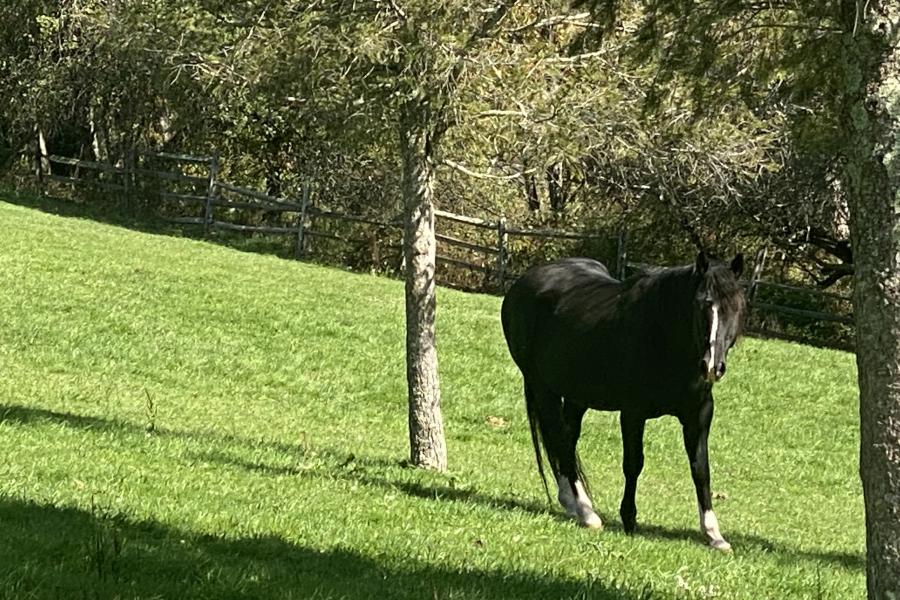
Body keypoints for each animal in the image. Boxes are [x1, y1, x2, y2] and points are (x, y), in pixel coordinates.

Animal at [500, 251, 744, 552]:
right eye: (702, 304)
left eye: (735, 306)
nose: (712, 366)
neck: (663, 337)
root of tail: (524, 282)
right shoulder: (633, 413)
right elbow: (633, 464)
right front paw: (629, 519)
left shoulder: (698, 415)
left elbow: (701, 469)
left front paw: (713, 534)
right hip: (543, 389)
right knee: (560, 441)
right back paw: (587, 513)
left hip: (576, 396)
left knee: (566, 440)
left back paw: (572, 501)